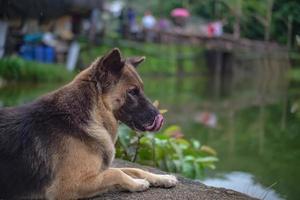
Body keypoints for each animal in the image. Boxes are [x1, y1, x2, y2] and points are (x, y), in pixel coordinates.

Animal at [0, 48, 177, 200]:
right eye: (133, 92)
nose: (160, 118)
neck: (90, 115)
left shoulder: (97, 171)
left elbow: (133, 169)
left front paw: (162, 178)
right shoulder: (68, 185)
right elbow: (116, 173)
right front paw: (137, 184)